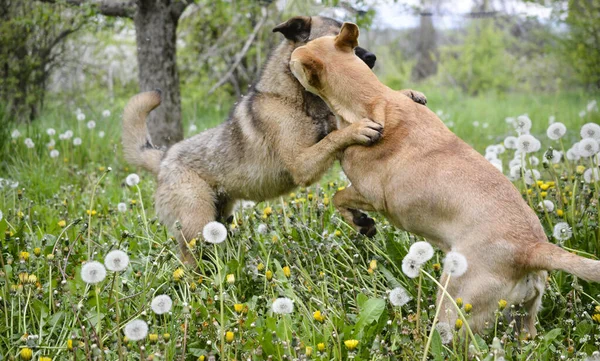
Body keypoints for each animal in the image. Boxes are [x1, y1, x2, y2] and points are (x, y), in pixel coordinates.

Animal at [119, 15, 426, 262]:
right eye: (332, 37)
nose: (372, 57)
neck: (294, 98)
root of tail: (163, 157)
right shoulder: (302, 164)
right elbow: (333, 137)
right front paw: (359, 129)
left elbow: (336, 126)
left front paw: (408, 94)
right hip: (196, 225)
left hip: (220, 219)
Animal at [288, 22, 596, 336]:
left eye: (296, 59)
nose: (286, 58)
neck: (371, 97)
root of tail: (531, 249)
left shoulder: (369, 194)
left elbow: (338, 197)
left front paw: (360, 222)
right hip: (524, 320)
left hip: (453, 309)